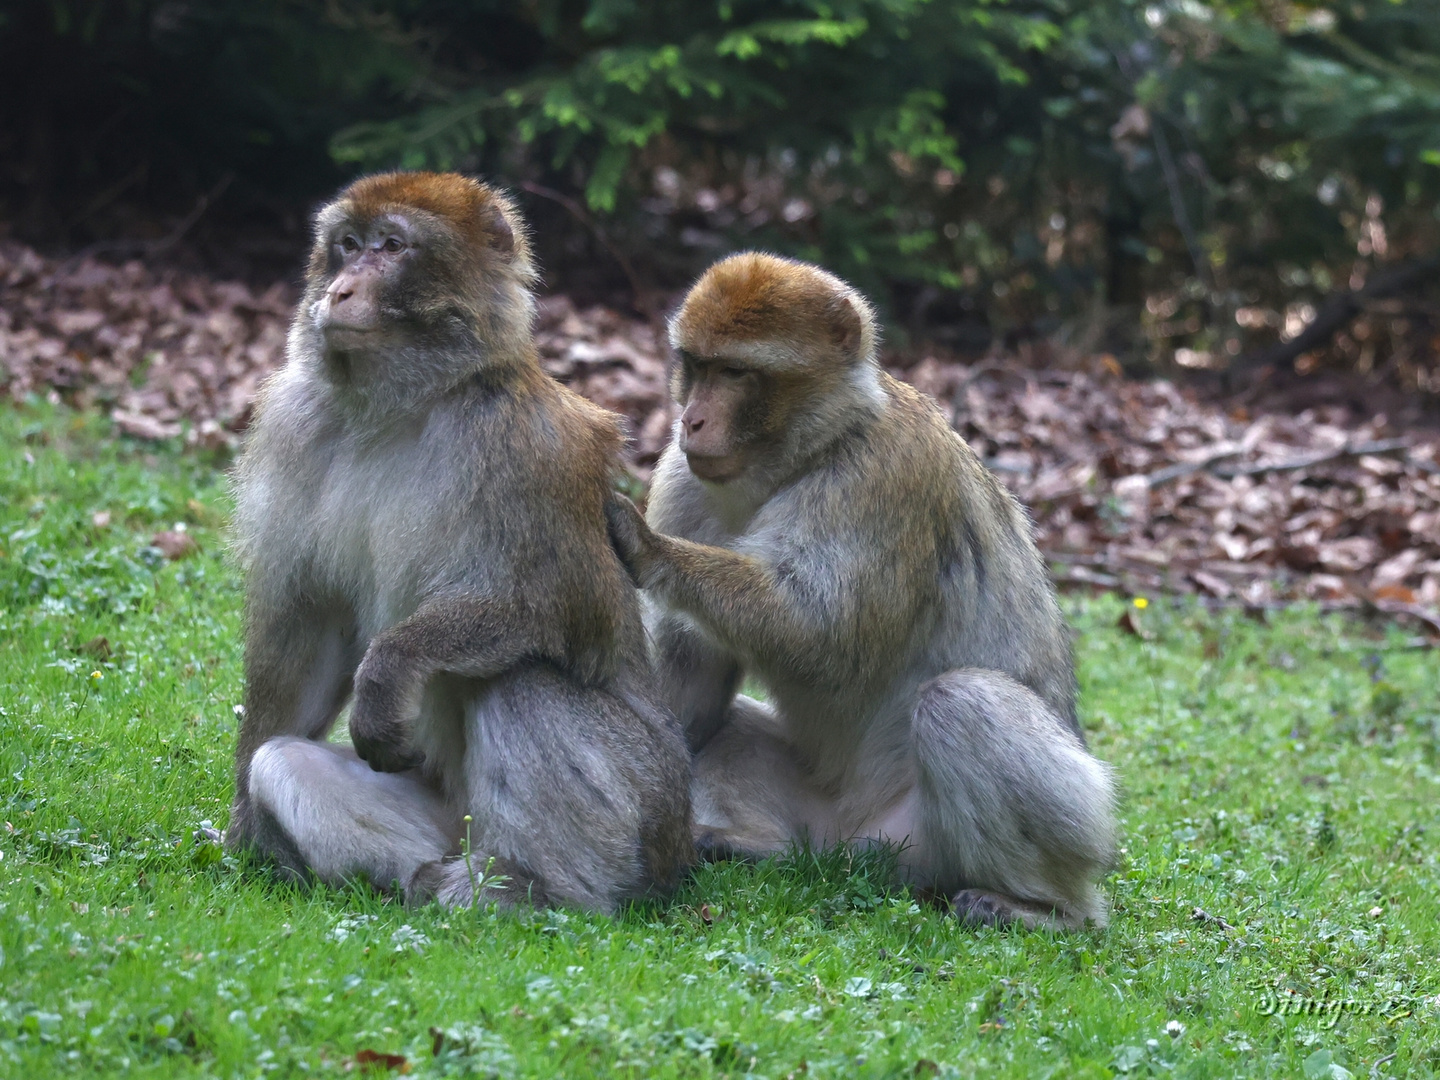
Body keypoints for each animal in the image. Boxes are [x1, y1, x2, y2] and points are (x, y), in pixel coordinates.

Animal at [224, 171, 691, 915]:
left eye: (391, 246)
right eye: (347, 244)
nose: (340, 290)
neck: (402, 404)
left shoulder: (527, 445)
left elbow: (562, 610)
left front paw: (389, 668)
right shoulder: (295, 424)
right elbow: (309, 631)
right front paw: (245, 829)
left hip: (651, 807)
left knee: (522, 676)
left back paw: (532, 887)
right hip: (448, 816)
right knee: (283, 760)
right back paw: (423, 882)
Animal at [601, 252, 1117, 933]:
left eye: (736, 372)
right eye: (697, 364)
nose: (693, 420)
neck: (812, 449)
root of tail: (851, 837)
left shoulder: (883, 477)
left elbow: (820, 639)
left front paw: (646, 546)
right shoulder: (683, 477)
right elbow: (695, 683)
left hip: (993, 834)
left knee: (961, 702)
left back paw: (1047, 910)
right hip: (829, 831)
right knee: (732, 734)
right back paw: (750, 844)